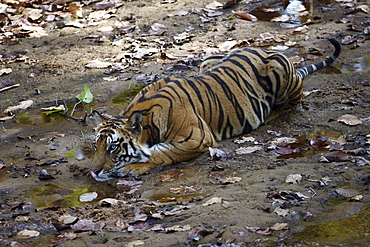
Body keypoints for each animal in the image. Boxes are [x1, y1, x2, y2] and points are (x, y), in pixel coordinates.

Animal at [89, 38, 342, 181]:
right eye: (95, 146)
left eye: (113, 148)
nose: (93, 171)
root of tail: (263, 48)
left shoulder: (196, 139)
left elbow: (161, 153)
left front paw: (131, 168)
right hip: (207, 61)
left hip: (281, 73)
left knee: (292, 103)